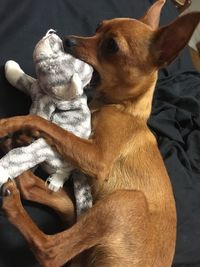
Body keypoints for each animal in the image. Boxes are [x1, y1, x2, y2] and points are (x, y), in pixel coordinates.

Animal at [0, 1, 200, 266]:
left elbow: (44, 122)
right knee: (52, 199)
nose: (66, 39)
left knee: (51, 251)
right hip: (87, 210)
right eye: (97, 27)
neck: (123, 107)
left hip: (126, 201)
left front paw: (8, 124)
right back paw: (17, 161)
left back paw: (12, 197)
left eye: (112, 46)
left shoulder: (98, 158)